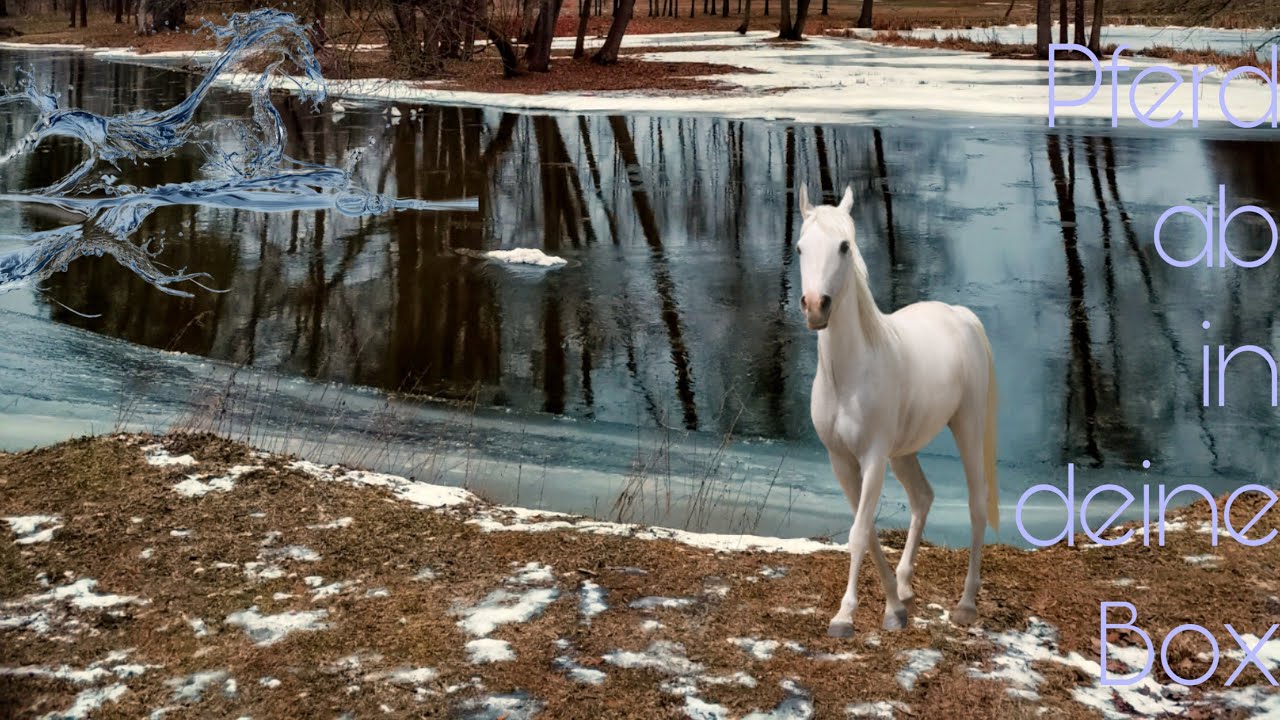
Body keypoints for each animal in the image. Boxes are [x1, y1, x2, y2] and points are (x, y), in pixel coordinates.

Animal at [796, 184, 999, 636]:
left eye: (844, 246)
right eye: (800, 247)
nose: (816, 306)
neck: (850, 373)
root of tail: (961, 317)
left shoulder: (872, 458)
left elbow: (859, 533)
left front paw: (844, 616)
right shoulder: (840, 460)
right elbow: (868, 531)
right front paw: (893, 606)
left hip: (967, 427)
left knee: (976, 506)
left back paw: (966, 605)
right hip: (904, 452)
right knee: (923, 497)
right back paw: (905, 588)